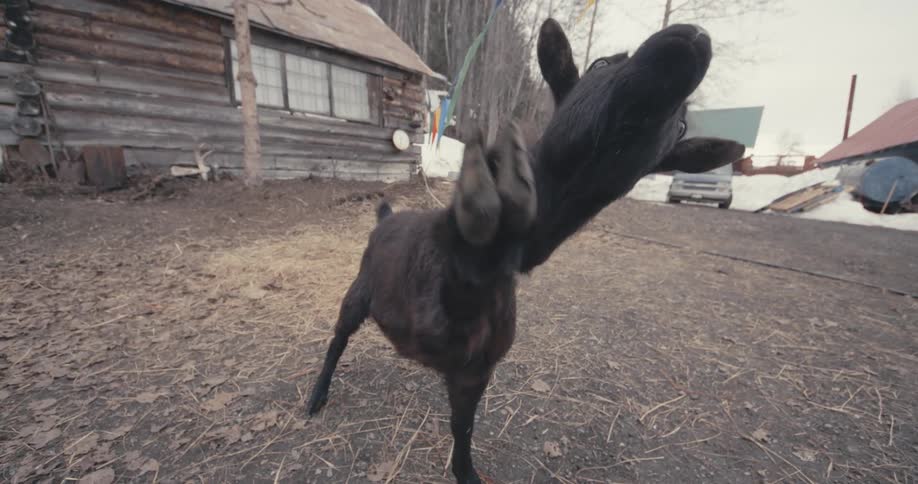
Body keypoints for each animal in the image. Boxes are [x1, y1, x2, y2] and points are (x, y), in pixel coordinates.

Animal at [306, 19, 746, 484]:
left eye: (681, 127)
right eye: (600, 63)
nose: (693, 36)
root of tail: (385, 217)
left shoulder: (476, 366)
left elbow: (462, 427)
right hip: (359, 291)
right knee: (338, 338)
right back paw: (316, 396)